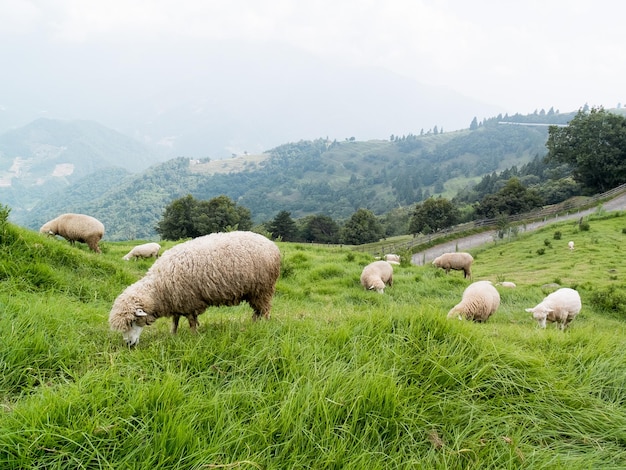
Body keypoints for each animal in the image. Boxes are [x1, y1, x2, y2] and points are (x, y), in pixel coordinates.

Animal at [108, 229, 280, 346]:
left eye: (132, 322)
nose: (129, 345)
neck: (158, 288)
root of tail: (272, 245)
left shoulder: (189, 301)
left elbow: (191, 322)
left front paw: (193, 337)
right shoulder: (176, 301)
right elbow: (175, 321)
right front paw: (173, 335)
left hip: (264, 289)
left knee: (265, 311)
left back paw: (263, 327)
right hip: (254, 292)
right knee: (257, 311)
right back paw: (253, 325)